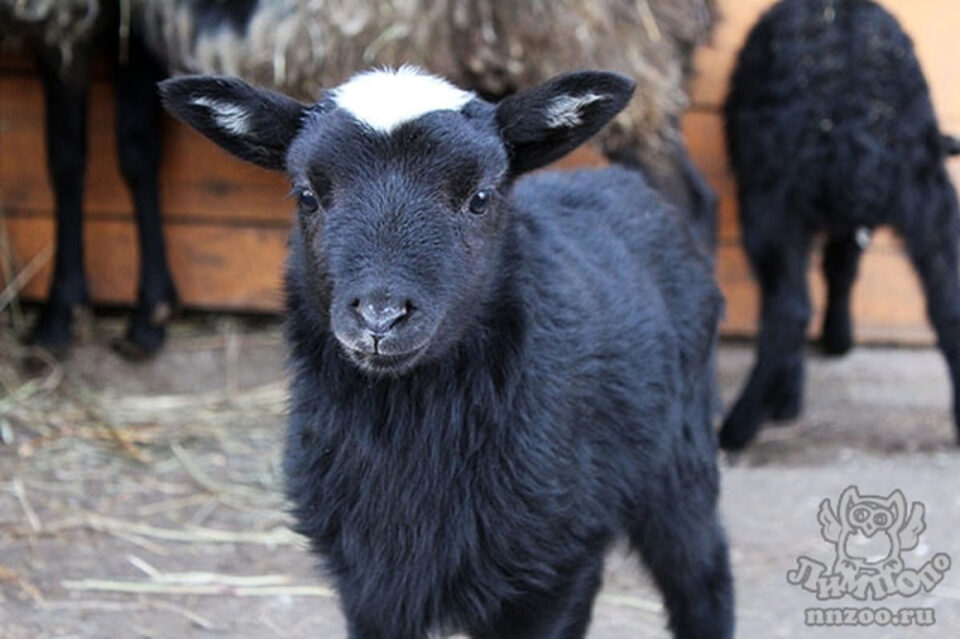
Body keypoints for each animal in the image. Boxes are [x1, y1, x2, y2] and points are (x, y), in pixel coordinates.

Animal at [0, 0, 716, 356]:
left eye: (480, 198)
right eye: (307, 195)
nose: (379, 318)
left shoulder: (75, 12)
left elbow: (71, 153)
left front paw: (63, 318)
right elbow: (133, 148)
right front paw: (147, 315)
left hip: (607, 34)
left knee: (687, 200)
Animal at [163, 67, 736, 636]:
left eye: (479, 198)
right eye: (307, 195)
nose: (380, 317)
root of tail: (622, 183)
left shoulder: (550, 570)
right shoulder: (369, 582)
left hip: (678, 456)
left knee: (703, 576)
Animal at [720, 0, 960, 450]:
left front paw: (788, 395)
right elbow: (842, 265)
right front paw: (838, 338)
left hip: (771, 200)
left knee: (789, 308)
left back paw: (739, 424)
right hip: (928, 191)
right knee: (949, 302)